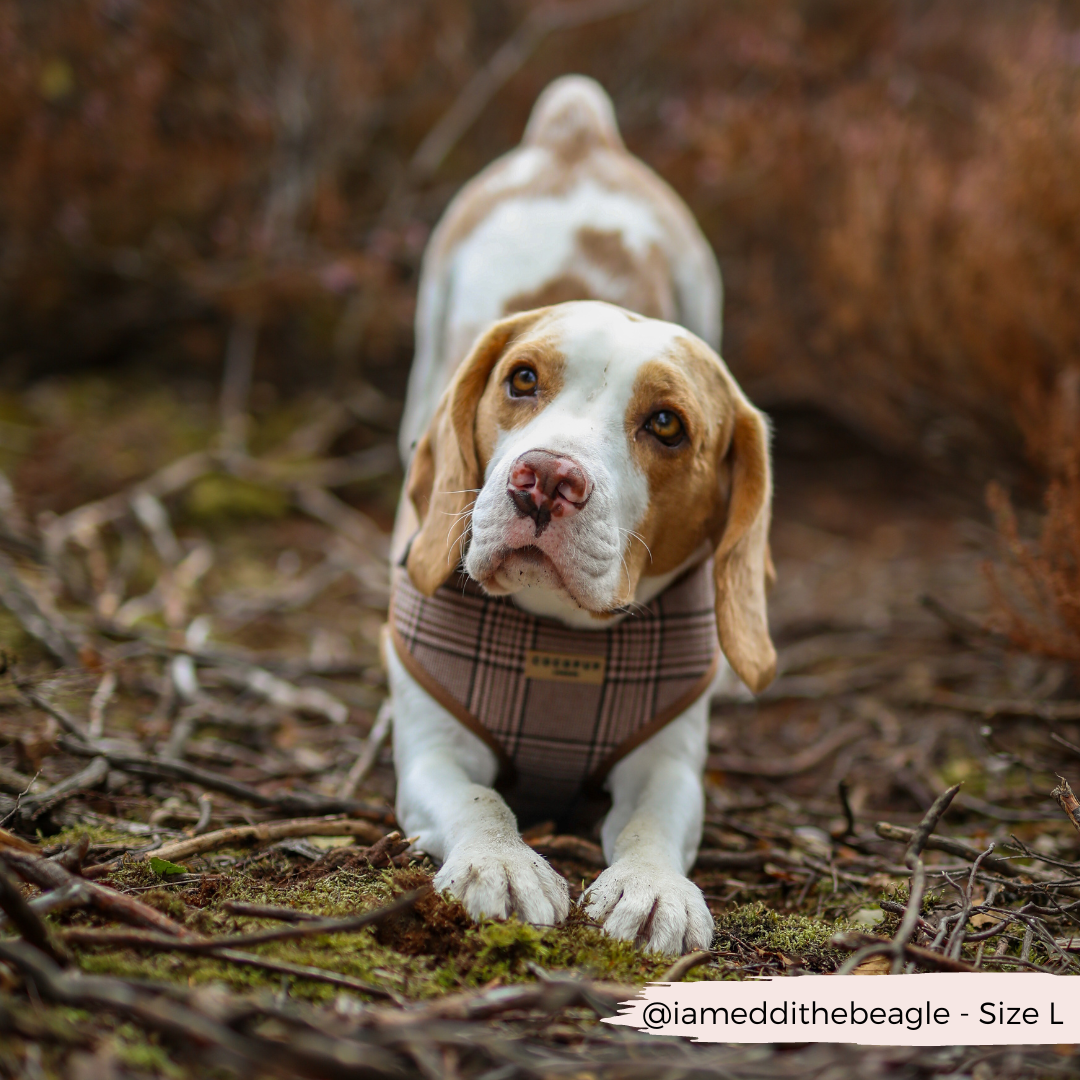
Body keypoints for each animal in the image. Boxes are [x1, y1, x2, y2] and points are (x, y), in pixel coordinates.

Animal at [388, 76, 777, 954]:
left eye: (666, 424)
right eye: (522, 379)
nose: (543, 480)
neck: (557, 635)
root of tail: (576, 135)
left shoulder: (667, 764)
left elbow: (651, 824)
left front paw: (653, 887)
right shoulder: (432, 751)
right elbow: (478, 799)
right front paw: (501, 863)